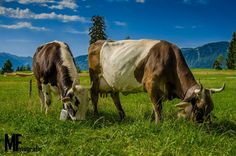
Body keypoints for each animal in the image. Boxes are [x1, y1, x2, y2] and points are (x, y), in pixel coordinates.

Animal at [88, 39, 225, 123]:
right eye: (199, 108)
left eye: (211, 108)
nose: (206, 126)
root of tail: (98, 42)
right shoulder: (151, 84)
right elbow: (157, 106)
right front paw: (158, 123)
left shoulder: (160, 90)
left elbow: (155, 106)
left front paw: (151, 120)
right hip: (95, 77)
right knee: (94, 95)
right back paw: (96, 115)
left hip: (112, 82)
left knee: (115, 96)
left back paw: (123, 117)